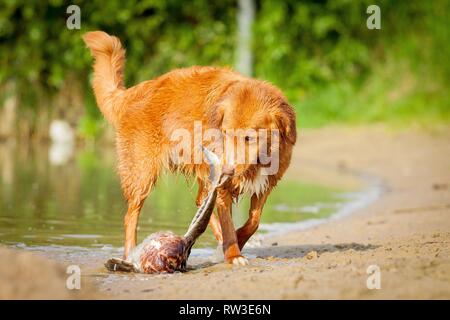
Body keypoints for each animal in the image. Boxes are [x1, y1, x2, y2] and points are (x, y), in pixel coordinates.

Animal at [82, 30, 298, 264]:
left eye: (249, 138)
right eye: (224, 133)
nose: (226, 170)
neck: (259, 161)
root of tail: (134, 92)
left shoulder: (265, 183)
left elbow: (254, 220)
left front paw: (236, 242)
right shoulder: (222, 185)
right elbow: (228, 223)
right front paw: (233, 253)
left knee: (200, 201)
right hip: (142, 174)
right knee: (130, 215)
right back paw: (130, 254)